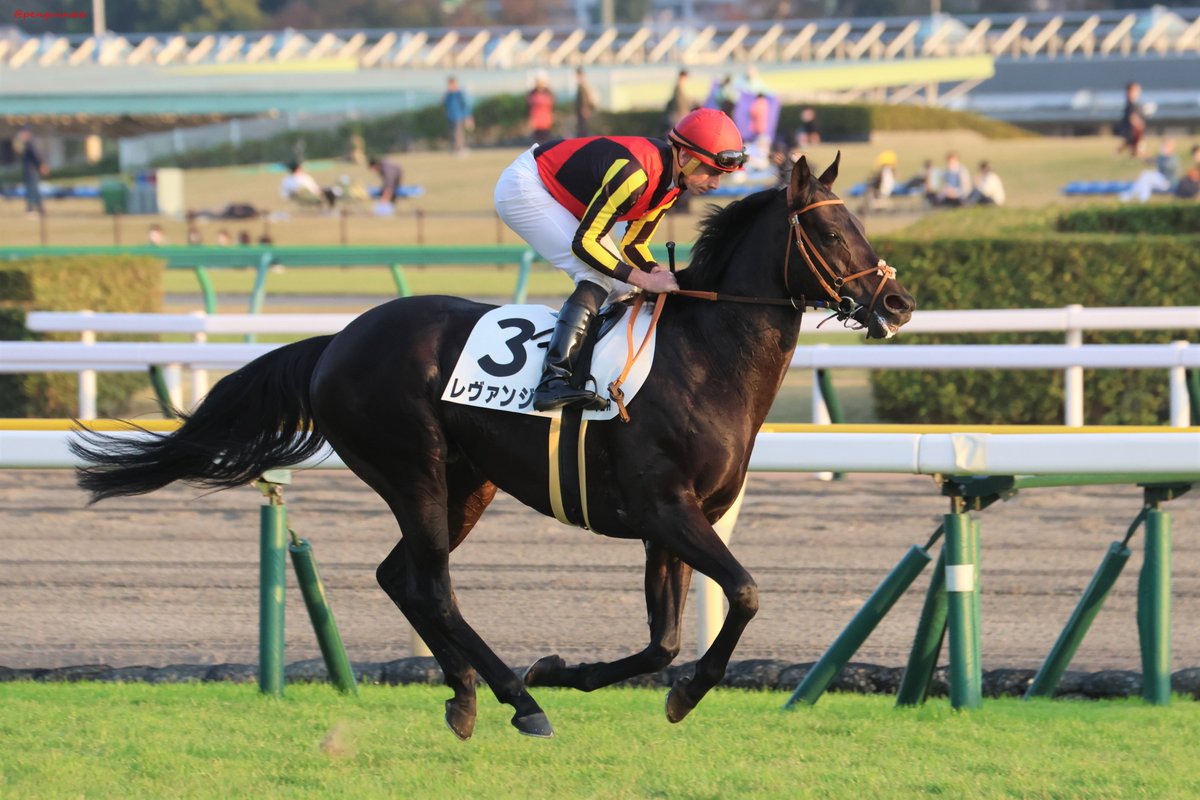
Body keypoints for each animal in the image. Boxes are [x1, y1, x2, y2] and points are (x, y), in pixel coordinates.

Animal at [73, 154, 914, 739]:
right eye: (832, 231)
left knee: (400, 578)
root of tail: (334, 342)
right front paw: (668, 692)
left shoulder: (677, 521)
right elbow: (742, 593)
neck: (702, 358)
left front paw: (580, 671)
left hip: (466, 481)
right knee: (433, 587)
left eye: (862, 226)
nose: (898, 302)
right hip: (411, 467)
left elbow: (664, 640)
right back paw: (519, 700)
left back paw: (475, 693)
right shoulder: (665, 510)